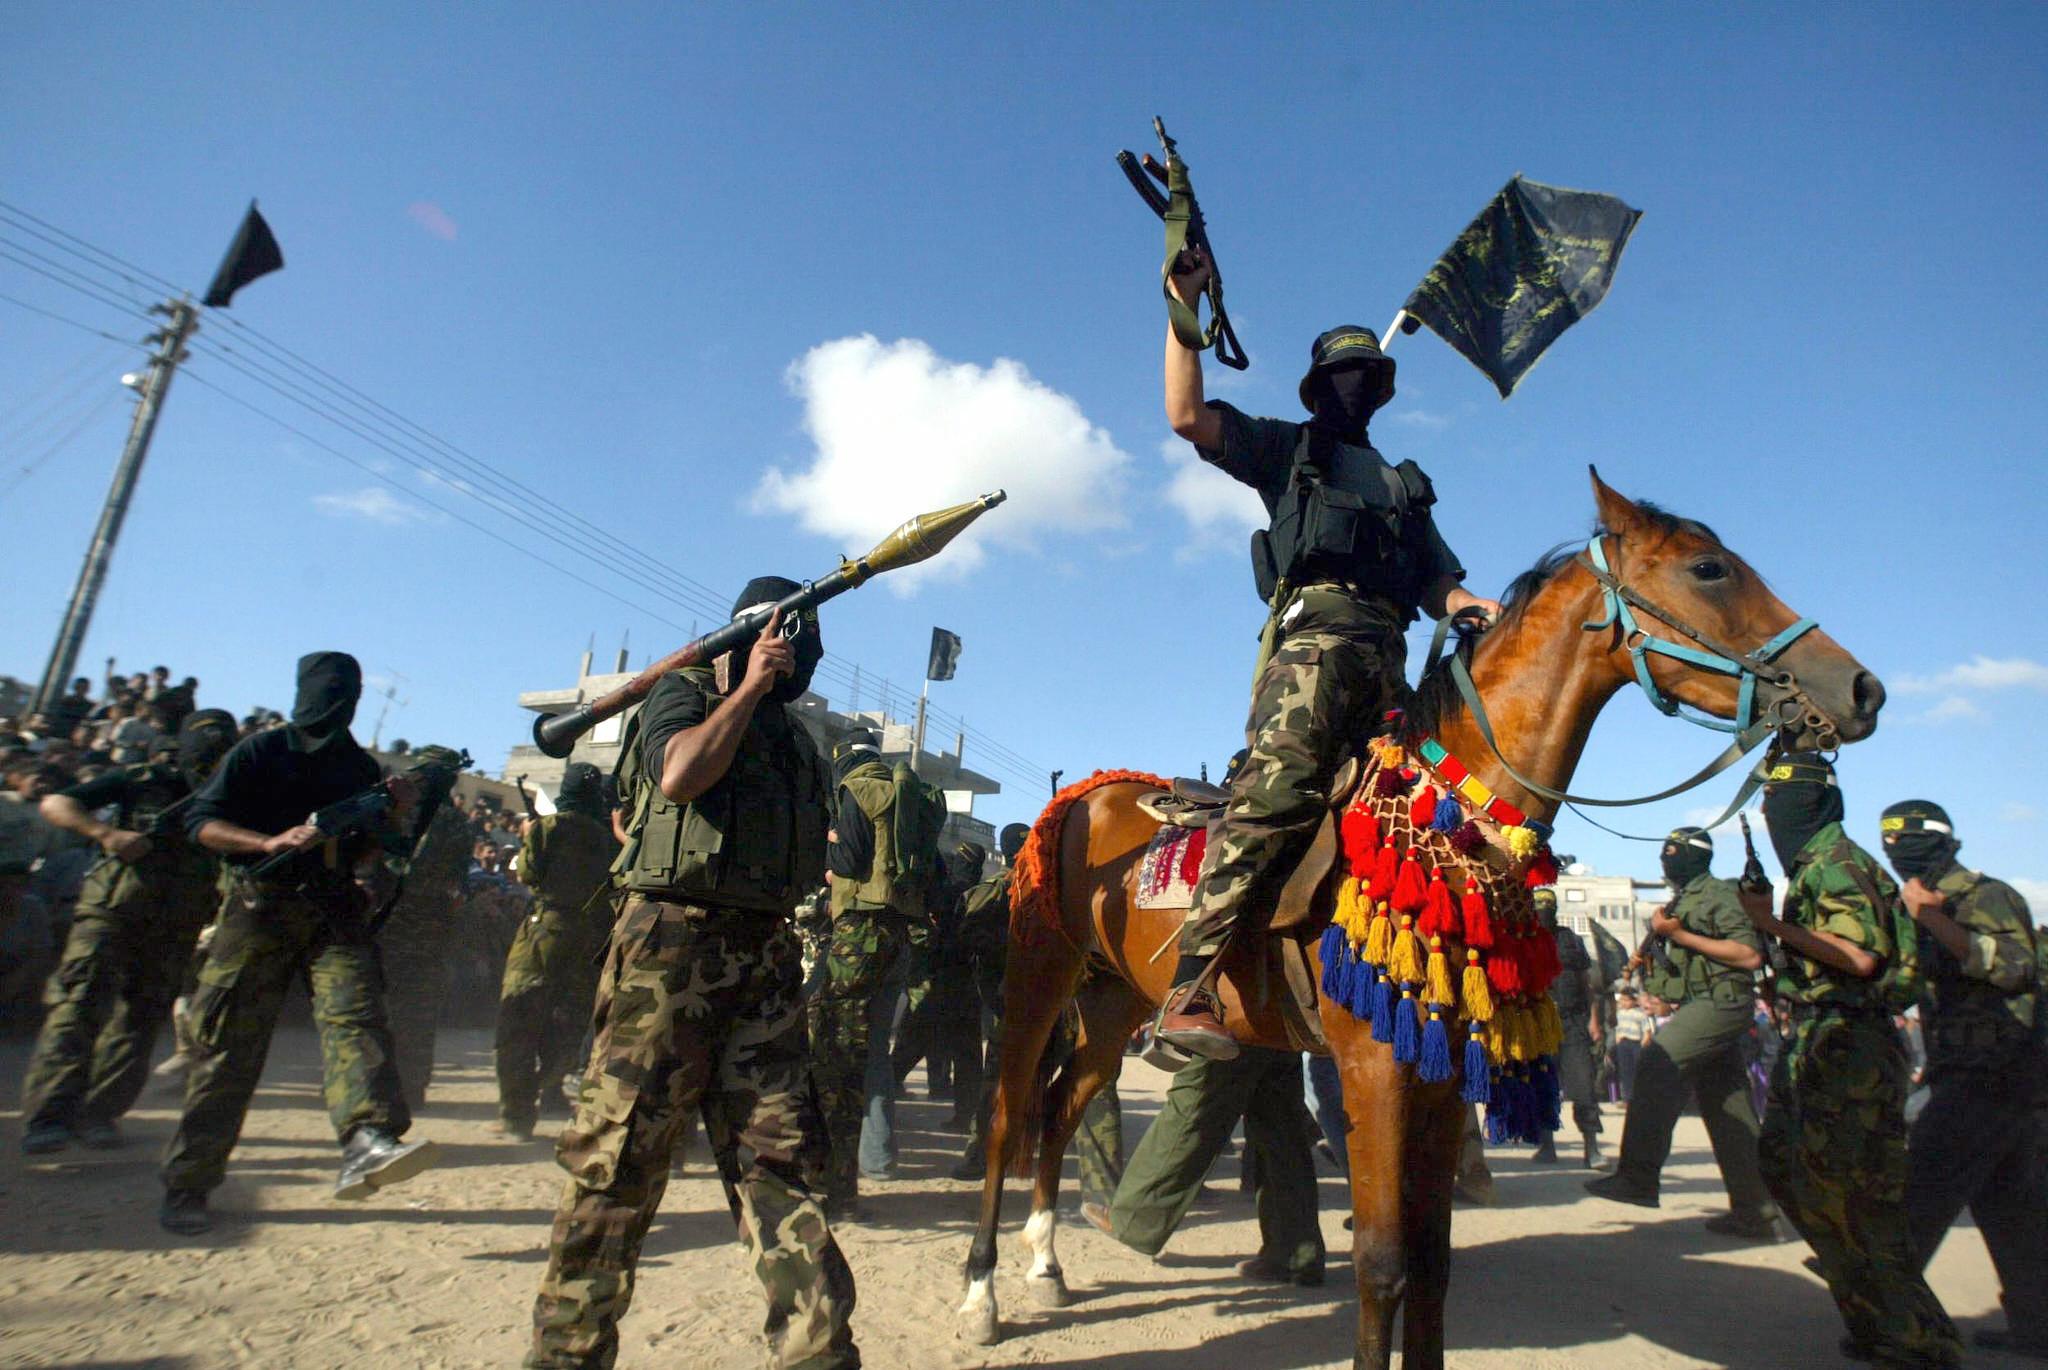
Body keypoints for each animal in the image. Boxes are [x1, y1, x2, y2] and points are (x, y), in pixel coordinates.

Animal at [958, 466, 1884, 1359]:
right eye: (1709, 569)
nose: (1862, 688)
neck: (1460, 805)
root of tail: (1085, 795)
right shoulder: (1372, 1069)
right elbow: (1384, 1264)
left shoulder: (1437, 1071)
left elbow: (1435, 1269)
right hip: (1038, 974)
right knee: (1008, 1116)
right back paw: (983, 1295)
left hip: (1115, 1000)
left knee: (1059, 1108)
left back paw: (1046, 1268)